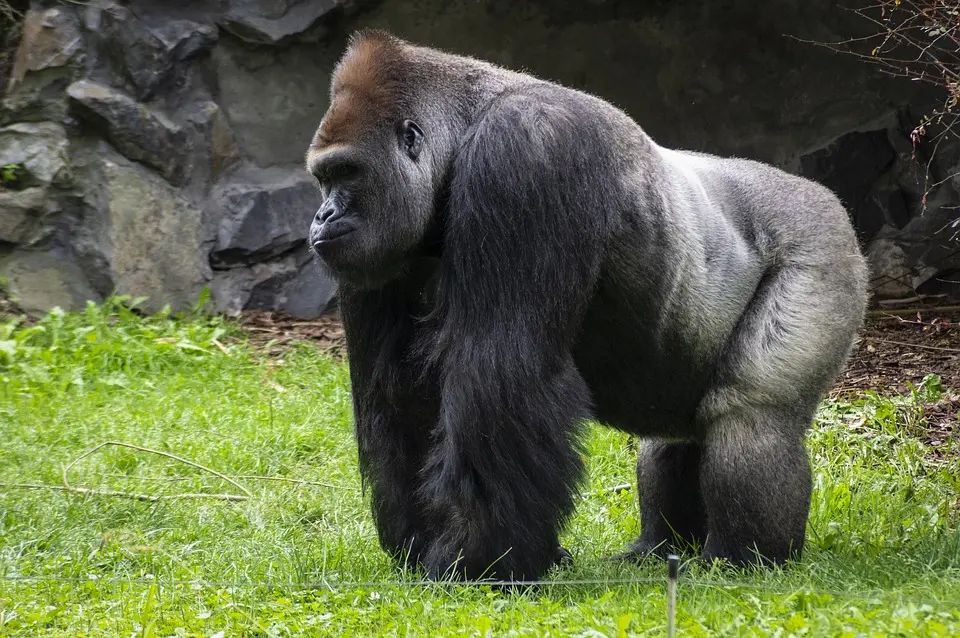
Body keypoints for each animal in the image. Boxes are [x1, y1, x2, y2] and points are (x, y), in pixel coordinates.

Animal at [306, 27, 872, 584]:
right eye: (323, 178)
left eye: (348, 173)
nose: (321, 216)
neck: (465, 126)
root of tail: (825, 197)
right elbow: (399, 394)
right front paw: (424, 543)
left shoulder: (526, 152)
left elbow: (498, 371)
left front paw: (478, 559)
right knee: (676, 436)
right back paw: (660, 547)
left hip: (820, 246)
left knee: (750, 417)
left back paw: (743, 559)